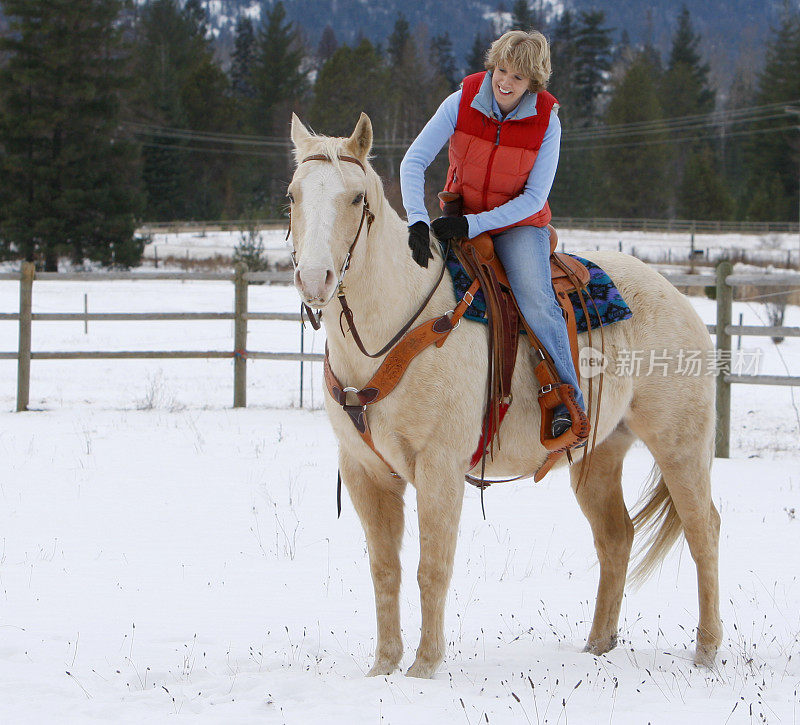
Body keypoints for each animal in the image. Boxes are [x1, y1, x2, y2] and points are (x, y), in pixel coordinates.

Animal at [290, 113, 720, 680]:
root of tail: (678, 299)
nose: (314, 278)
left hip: (680, 444)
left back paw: (707, 651)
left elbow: (432, 567)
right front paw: (382, 669)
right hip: (600, 454)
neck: (396, 328)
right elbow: (385, 570)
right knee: (616, 537)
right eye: (293, 195)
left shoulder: (440, 467)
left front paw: (424, 668)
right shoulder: (364, 471)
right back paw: (598, 644)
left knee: (703, 530)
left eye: (356, 198)